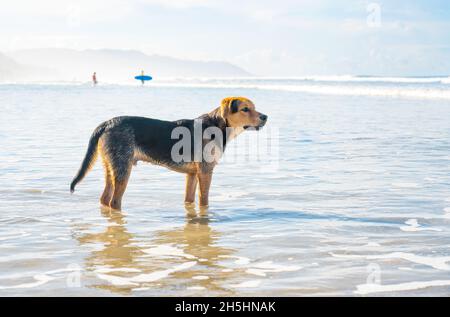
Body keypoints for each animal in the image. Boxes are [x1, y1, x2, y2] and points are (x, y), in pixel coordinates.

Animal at [70, 97, 268, 210]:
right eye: (245, 109)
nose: (265, 117)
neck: (217, 126)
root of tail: (107, 123)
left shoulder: (192, 174)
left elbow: (189, 199)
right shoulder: (206, 172)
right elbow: (204, 201)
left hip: (111, 166)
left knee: (104, 198)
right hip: (123, 169)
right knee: (114, 202)